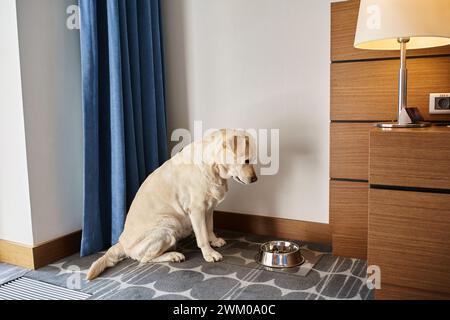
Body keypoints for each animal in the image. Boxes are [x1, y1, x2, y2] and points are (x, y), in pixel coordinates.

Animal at [87, 129, 256, 280]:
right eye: (246, 161)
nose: (255, 179)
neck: (212, 165)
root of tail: (121, 242)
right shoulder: (197, 210)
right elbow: (202, 236)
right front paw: (209, 254)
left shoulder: (209, 207)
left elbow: (209, 227)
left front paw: (214, 240)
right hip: (168, 226)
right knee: (145, 259)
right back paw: (173, 255)